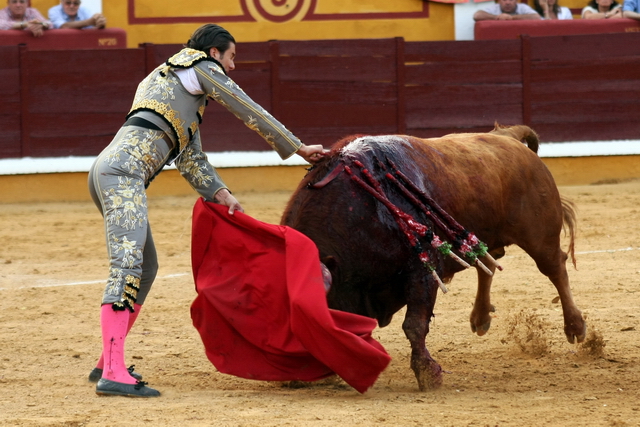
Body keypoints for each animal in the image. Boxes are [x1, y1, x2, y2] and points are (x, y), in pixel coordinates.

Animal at [282, 125, 588, 392]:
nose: (295, 374)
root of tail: (507, 136)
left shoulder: (422, 271)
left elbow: (414, 325)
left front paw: (428, 374)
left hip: (539, 235)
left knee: (555, 268)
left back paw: (575, 327)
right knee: (487, 264)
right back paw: (480, 317)